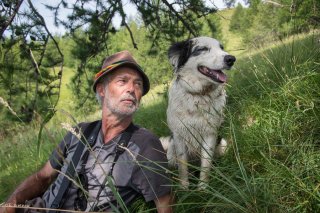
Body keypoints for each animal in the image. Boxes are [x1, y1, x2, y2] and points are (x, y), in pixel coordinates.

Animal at [161, 36, 236, 188]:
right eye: (202, 49)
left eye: (221, 48)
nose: (231, 59)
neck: (198, 95)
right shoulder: (179, 135)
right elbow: (183, 167)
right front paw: (184, 187)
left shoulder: (210, 134)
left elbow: (206, 165)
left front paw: (203, 188)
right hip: (171, 151)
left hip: (222, 143)